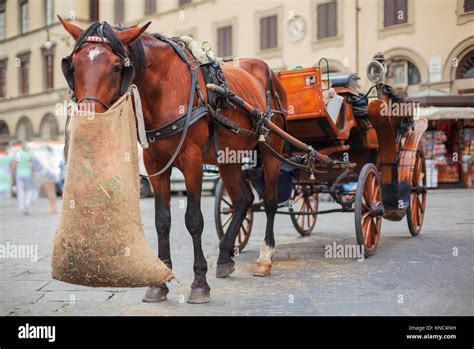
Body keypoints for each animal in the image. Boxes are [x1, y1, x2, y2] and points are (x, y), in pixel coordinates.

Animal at [61, 18, 286, 302]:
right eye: (73, 66)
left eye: (116, 68)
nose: (87, 124)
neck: (163, 88)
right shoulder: (154, 164)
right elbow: (162, 221)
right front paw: (160, 282)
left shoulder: (191, 161)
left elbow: (194, 220)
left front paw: (199, 283)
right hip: (228, 157)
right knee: (243, 200)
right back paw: (225, 257)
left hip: (272, 148)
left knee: (270, 201)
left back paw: (265, 258)